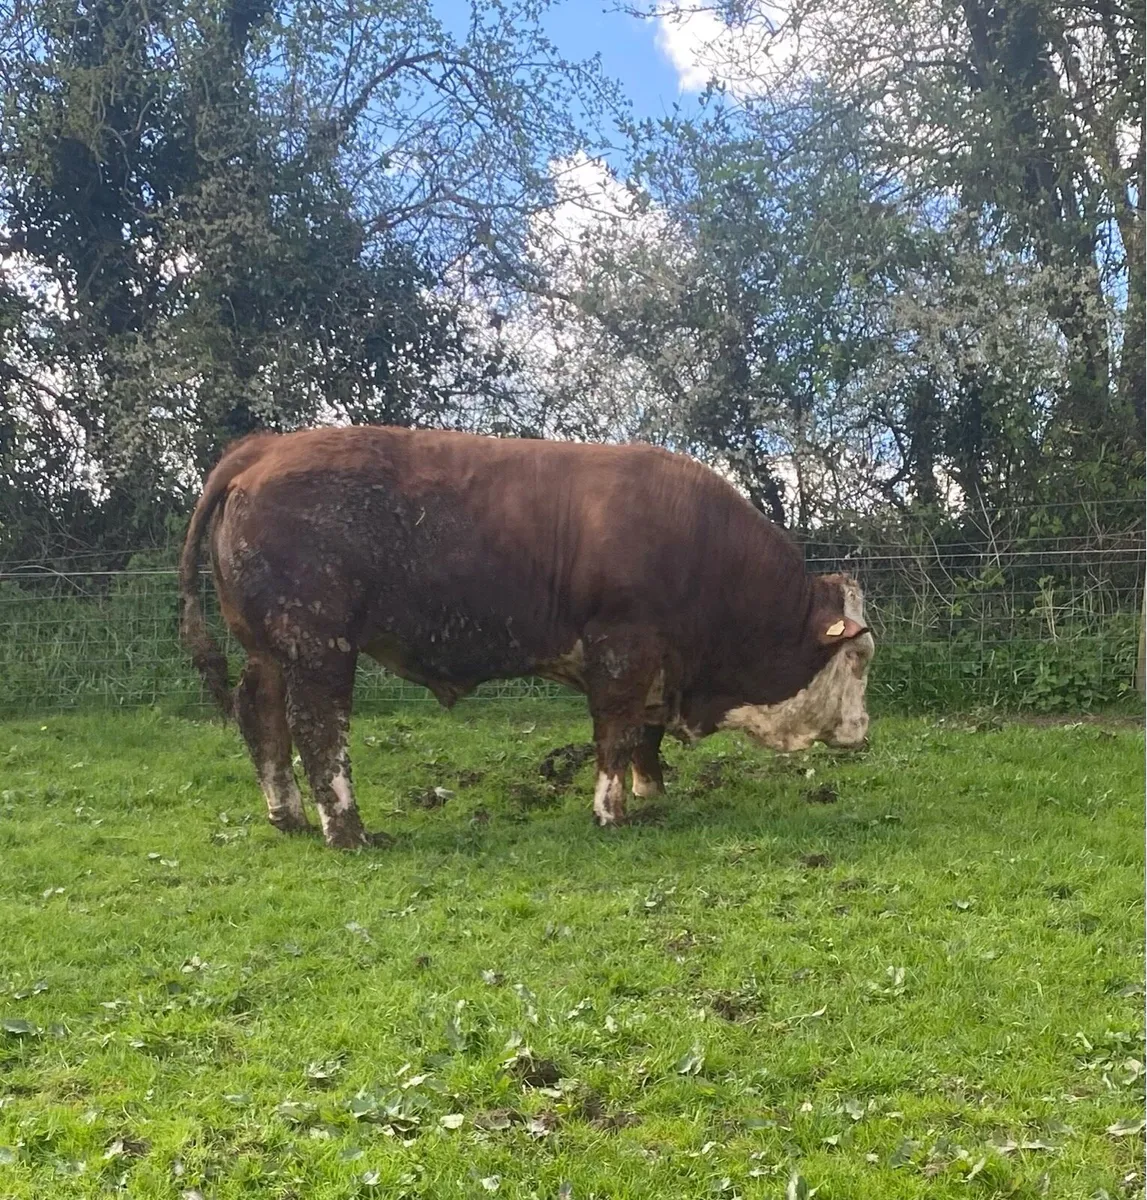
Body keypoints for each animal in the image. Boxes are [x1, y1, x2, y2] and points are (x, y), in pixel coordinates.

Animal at [179, 426, 874, 849]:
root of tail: (266, 447)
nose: (863, 731)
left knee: (260, 714)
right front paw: (611, 811)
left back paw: (288, 814)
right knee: (318, 728)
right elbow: (615, 731)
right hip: (318, 642)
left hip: (267, 648)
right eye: (861, 656)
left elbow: (643, 734)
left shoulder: (655, 660)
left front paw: (651, 792)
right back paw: (347, 830)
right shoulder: (622, 648)